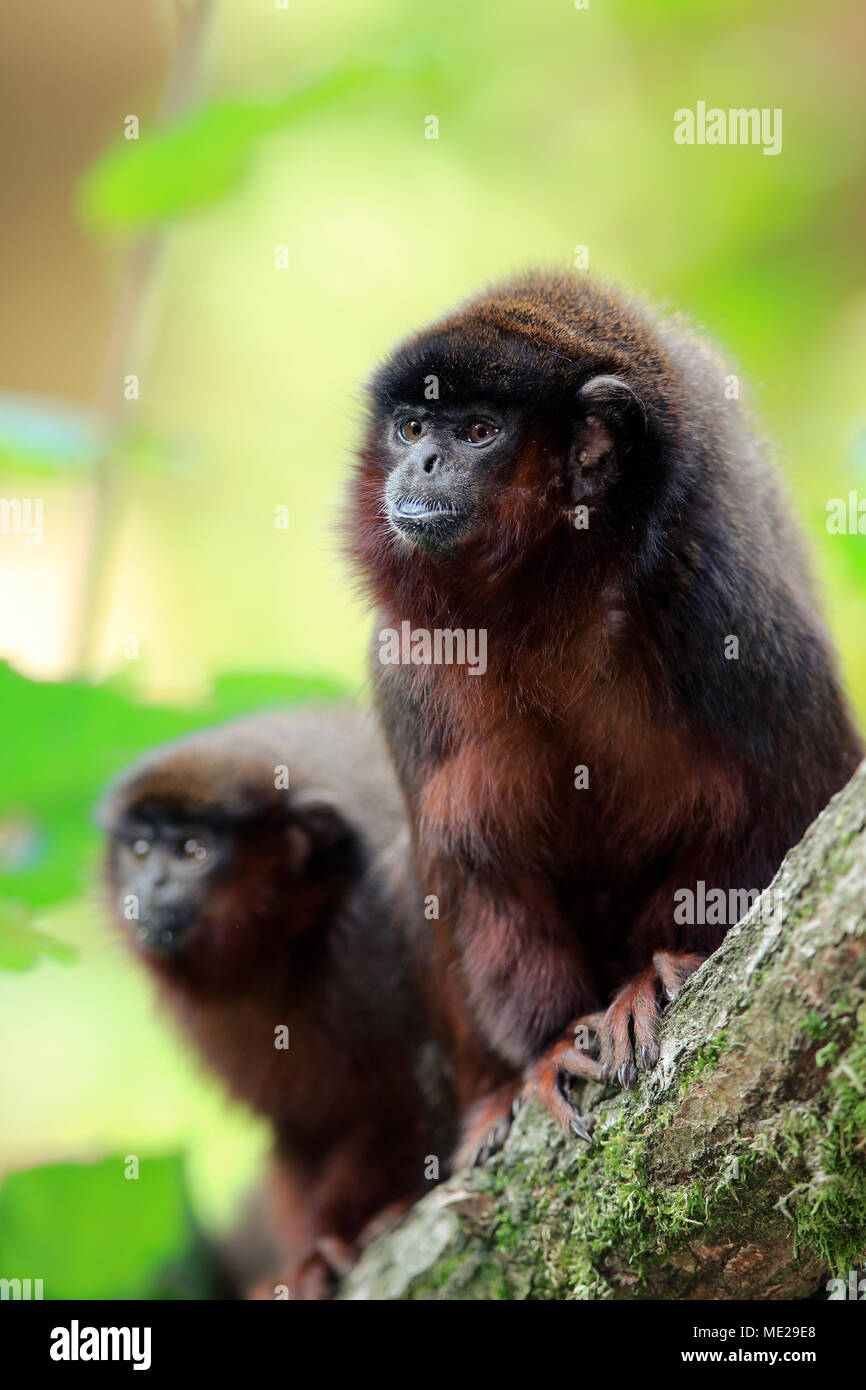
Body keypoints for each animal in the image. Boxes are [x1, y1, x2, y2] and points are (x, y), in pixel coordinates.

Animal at [99, 711, 458, 1295]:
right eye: (140, 850)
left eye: (193, 851)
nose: (150, 886)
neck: (287, 954)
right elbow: (296, 1133)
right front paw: (303, 1262)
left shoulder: (376, 939)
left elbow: (406, 1105)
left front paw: (340, 1235)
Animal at [343, 268, 861, 1139]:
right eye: (412, 426)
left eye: (478, 431)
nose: (420, 462)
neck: (551, 602)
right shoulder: (408, 671)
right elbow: (477, 868)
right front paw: (552, 1042)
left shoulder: (722, 596)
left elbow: (791, 790)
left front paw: (652, 975)